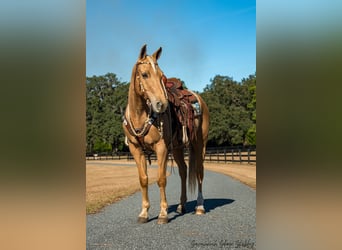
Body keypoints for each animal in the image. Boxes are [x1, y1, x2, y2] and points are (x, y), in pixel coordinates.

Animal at [123, 45, 208, 225]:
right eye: (145, 74)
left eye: (161, 75)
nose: (161, 104)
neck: (140, 116)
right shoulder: (135, 149)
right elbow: (143, 179)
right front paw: (144, 213)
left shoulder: (161, 147)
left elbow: (161, 179)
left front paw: (163, 214)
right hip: (176, 148)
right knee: (183, 171)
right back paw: (182, 206)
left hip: (199, 144)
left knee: (199, 171)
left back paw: (199, 206)